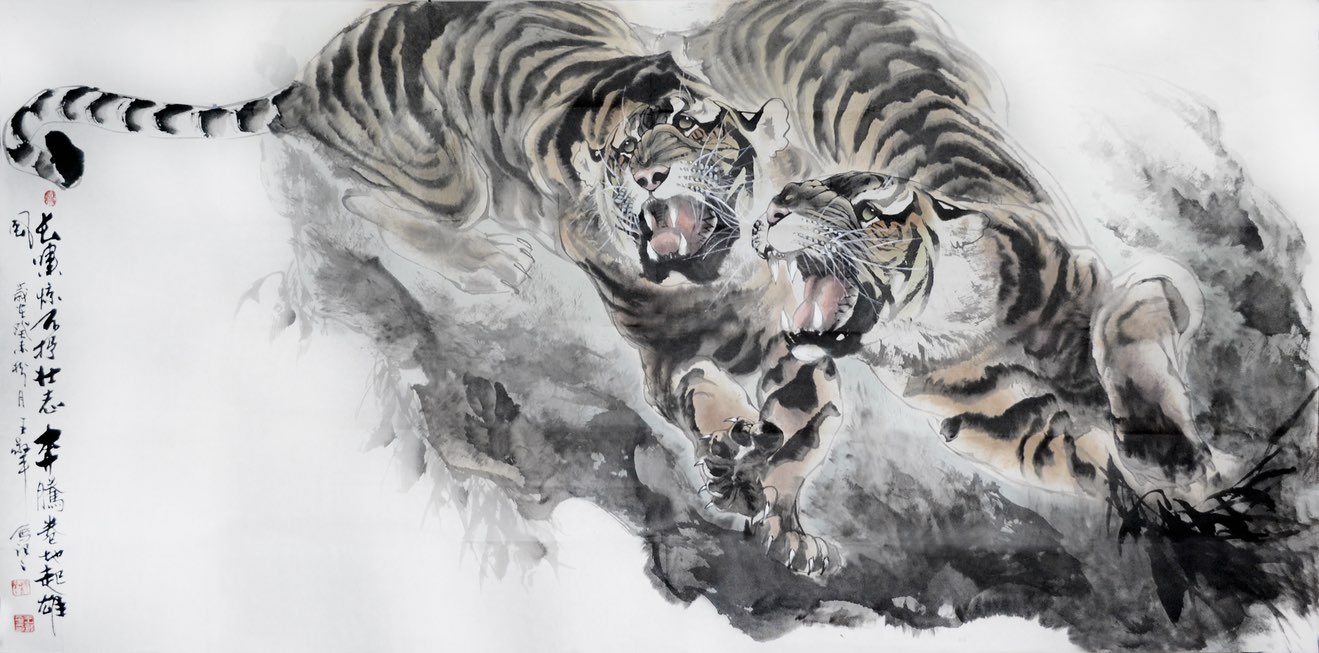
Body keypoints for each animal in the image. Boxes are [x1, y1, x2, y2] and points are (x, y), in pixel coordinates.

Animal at [3, 1, 840, 572]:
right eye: (629, 146)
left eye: (695, 131)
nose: (644, 175)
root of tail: (310, 78)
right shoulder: (654, 343)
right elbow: (697, 394)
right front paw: (726, 453)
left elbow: (808, 433)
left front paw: (792, 525)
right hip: (446, 175)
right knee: (364, 201)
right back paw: (488, 261)